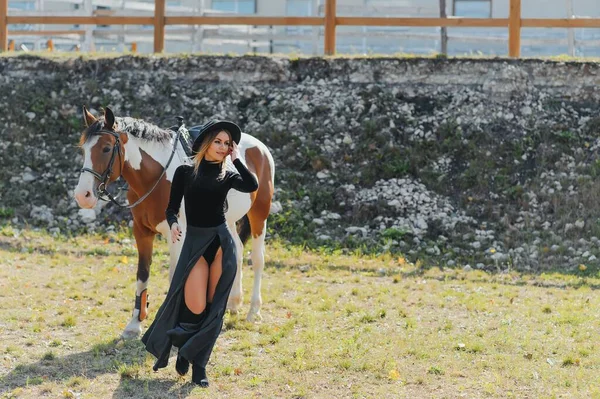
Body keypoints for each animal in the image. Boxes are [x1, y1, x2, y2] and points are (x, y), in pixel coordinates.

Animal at [73, 106, 276, 338]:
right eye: (84, 150)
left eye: (106, 148)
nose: (83, 196)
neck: (156, 178)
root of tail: (260, 147)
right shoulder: (142, 232)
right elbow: (142, 275)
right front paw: (134, 325)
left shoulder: (179, 235)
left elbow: (176, 277)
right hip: (228, 219)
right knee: (238, 250)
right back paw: (233, 303)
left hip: (259, 214)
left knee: (258, 258)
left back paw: (253, 311)